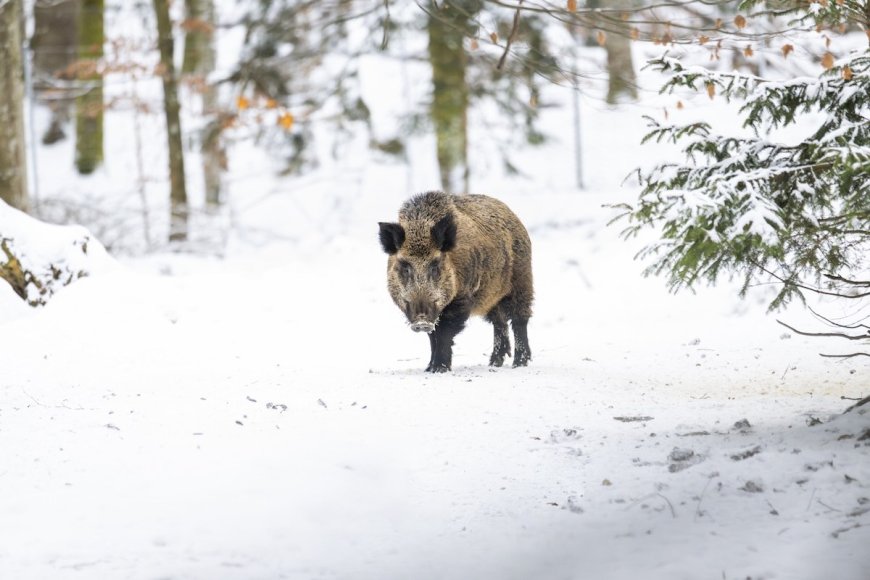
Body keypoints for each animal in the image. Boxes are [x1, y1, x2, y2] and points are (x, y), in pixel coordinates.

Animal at [378, 191, 533, 372]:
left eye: (435, 266)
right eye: (405, 267)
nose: (422, 321)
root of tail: (513, 216)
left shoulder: (461, 298)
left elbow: (444, 333)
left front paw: (439, 368)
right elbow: (433, 337)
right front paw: (429, 368)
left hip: (522, 281)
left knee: (519, 320)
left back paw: (519, 364)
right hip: (491, 296)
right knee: (499, 322)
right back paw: (494, 363)